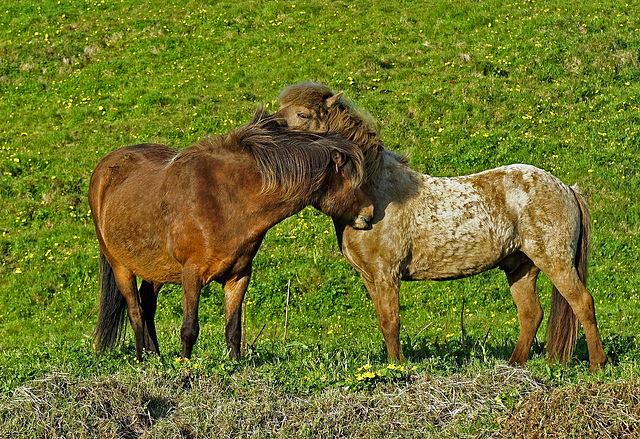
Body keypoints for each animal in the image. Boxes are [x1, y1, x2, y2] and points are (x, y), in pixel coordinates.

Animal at [87, 109, 372, 360]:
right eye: (355, 182)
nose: (369, 215)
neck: (224, 200)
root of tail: (104, 168)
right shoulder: (191, 274)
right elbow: (189, 329)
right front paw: (185, 366)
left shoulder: (239, 276)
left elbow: (234, 330)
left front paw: (234, 365)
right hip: (120, 265)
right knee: (135, 310)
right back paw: (140, 358)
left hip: (157, 269)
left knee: (147, 303)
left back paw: (156, 355)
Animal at [276, 82, 604, 372]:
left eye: (302, 114)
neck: (376, 192)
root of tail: (567, 188)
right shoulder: (370, 277)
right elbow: (383, 322)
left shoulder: (387, 274)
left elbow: (391, 322)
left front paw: (397, 367)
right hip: (521, 266)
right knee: (531, 315)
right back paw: (513, 366)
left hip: (556, 261)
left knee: (583, 303)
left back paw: (598, 364)